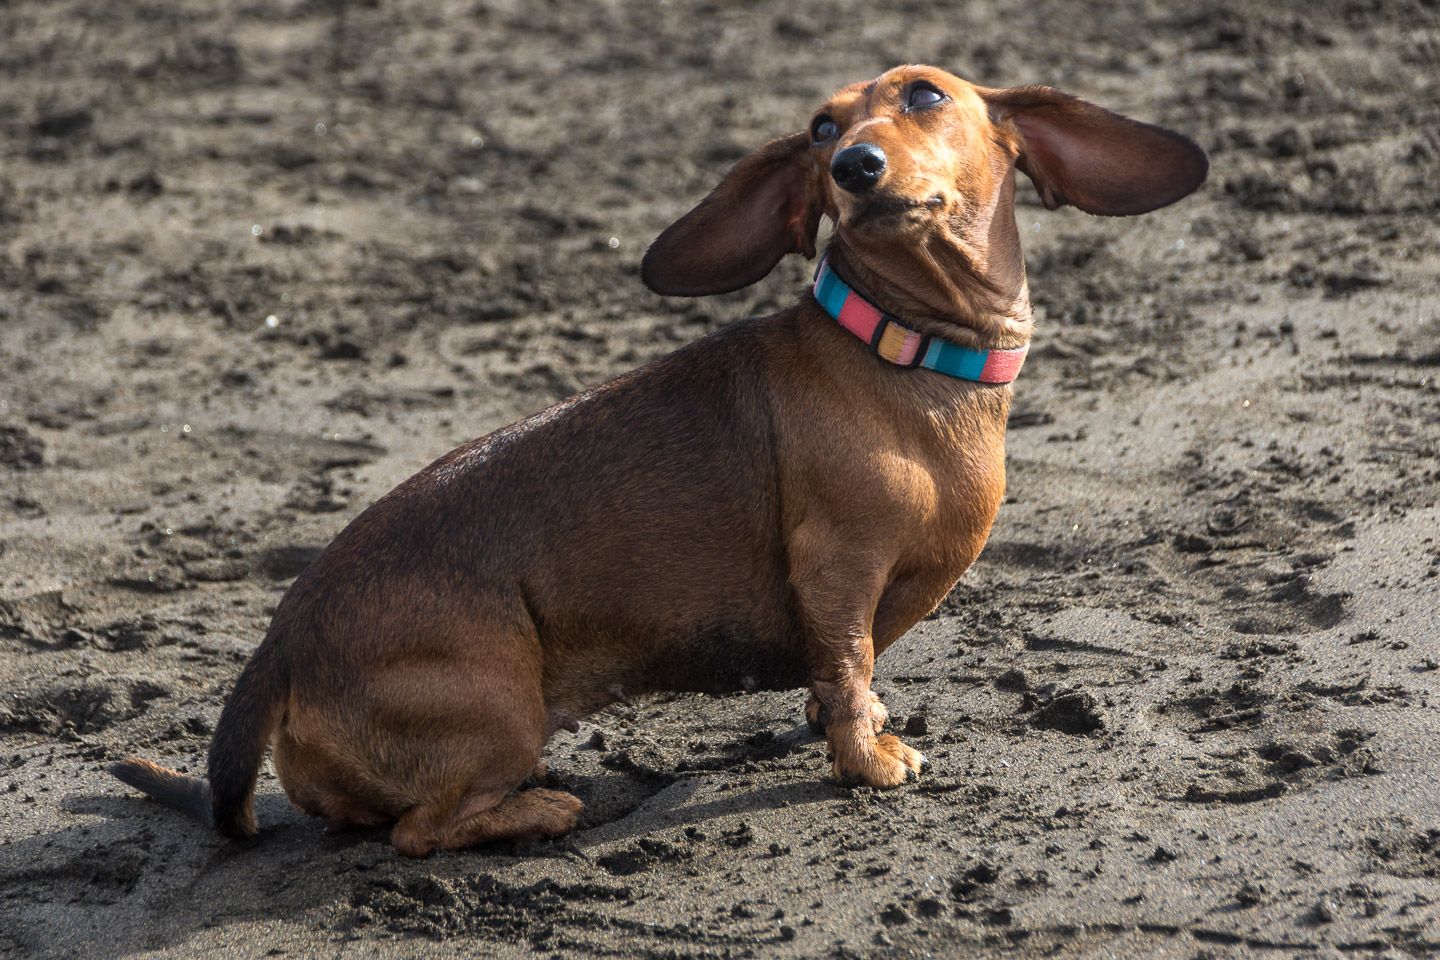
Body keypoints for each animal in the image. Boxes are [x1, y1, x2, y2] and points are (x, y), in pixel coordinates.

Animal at [112, 69, 1209, 863]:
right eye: (821, 128)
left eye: (926, 96)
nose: (855, 167)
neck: (903, 359)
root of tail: (281, 643)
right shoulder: (838, 568)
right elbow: (850, 664)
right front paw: (865, 756)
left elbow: (839, 678)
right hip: (500, 710)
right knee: (420, 832)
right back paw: (544, 810)